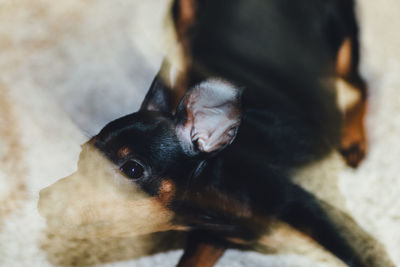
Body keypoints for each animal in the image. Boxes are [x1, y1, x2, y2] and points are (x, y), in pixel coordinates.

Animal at [39, 0, 396, 266]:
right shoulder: (210, 238)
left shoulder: (344, 232)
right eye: (82, 155)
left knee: (358, 85)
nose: (43, 199)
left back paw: (353, 139)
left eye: (132, 170)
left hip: (343, 42)